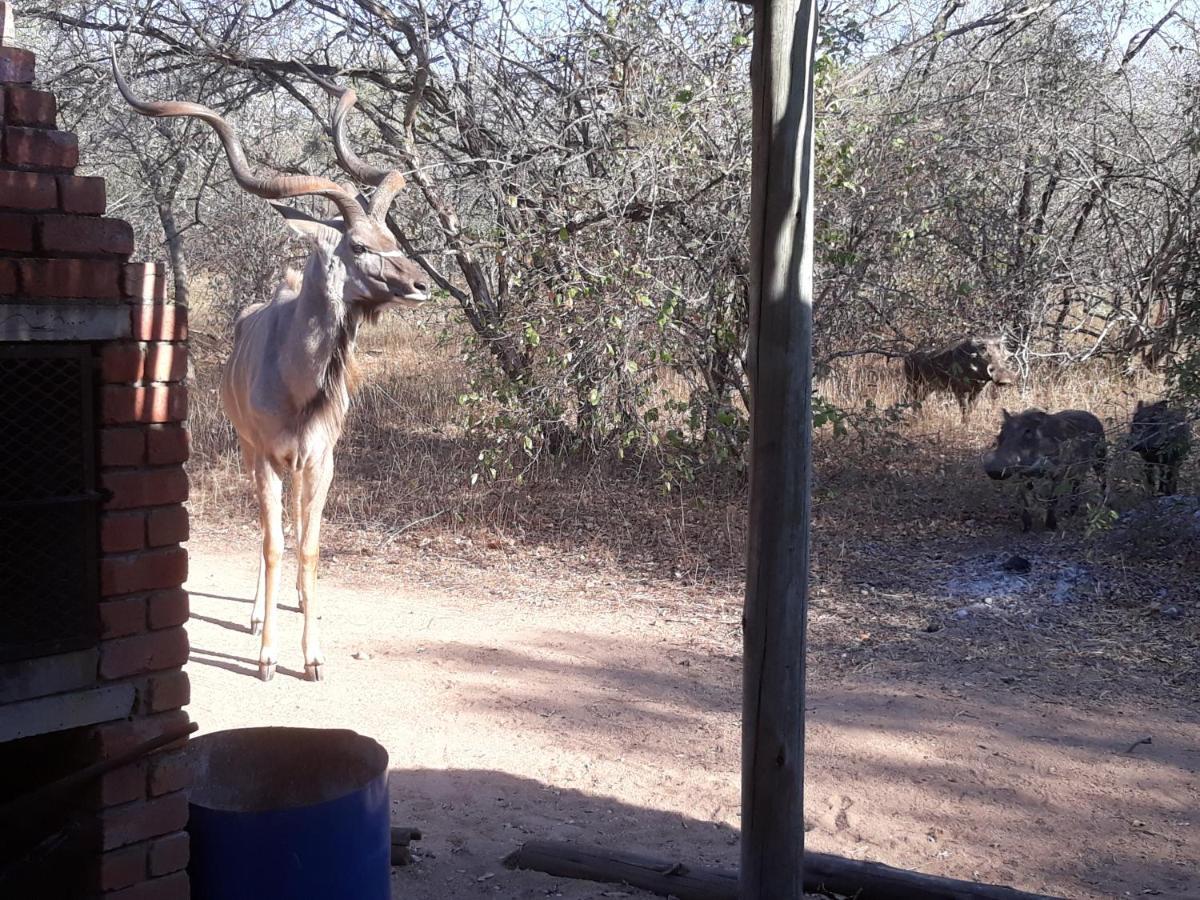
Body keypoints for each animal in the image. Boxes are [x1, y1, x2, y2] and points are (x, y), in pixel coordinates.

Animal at [113, 52, 432, 681]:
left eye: (389, 234)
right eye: (358, 245)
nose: (420, 284)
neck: (296, 382)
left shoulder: (321, 459)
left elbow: (307, 545)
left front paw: (313, 657)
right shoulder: (264, 454)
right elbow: (274, 542)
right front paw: (266, 657)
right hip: (248, 452)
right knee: (268, 532)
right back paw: (259, 615)